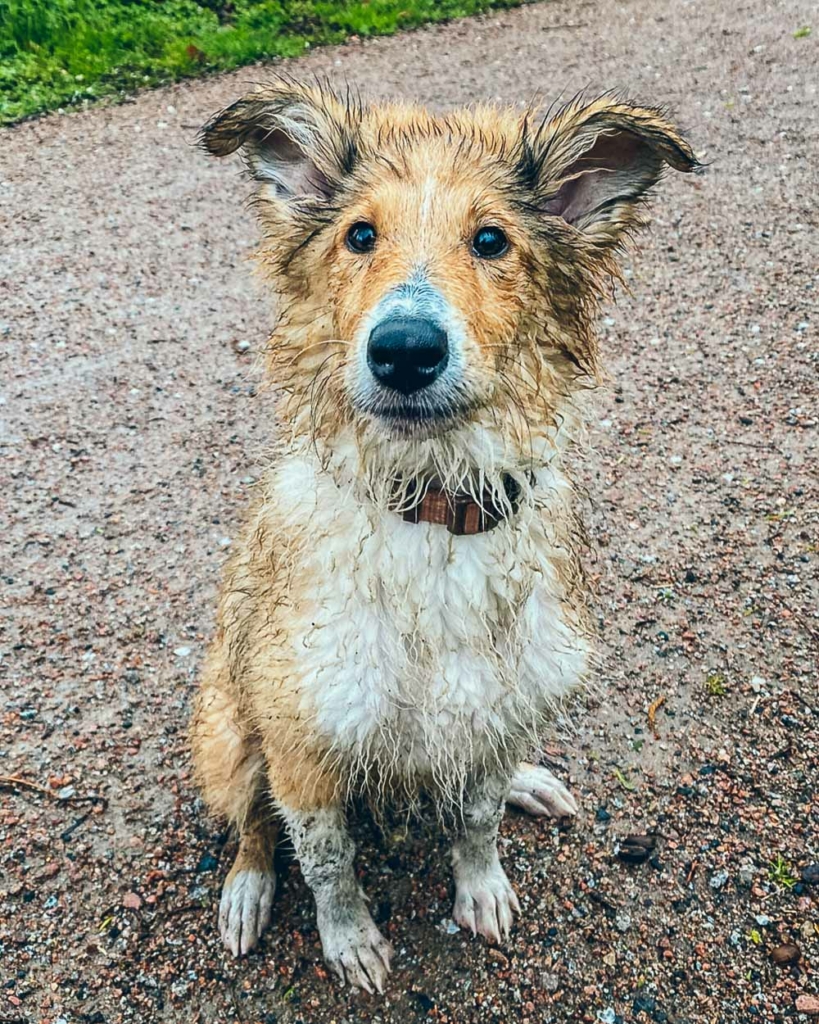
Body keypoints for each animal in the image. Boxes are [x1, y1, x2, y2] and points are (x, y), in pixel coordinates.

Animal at [192, 79, 696, 991]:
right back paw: (246, 892)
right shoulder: (304, 743)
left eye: (490, 240)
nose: (403, 350)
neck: (431, 513)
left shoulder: (490, 712)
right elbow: (327, 863)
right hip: (226, 728)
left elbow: (476, 819)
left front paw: (481, 888)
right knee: (250, 822)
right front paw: (350, 942)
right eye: (359, 234)